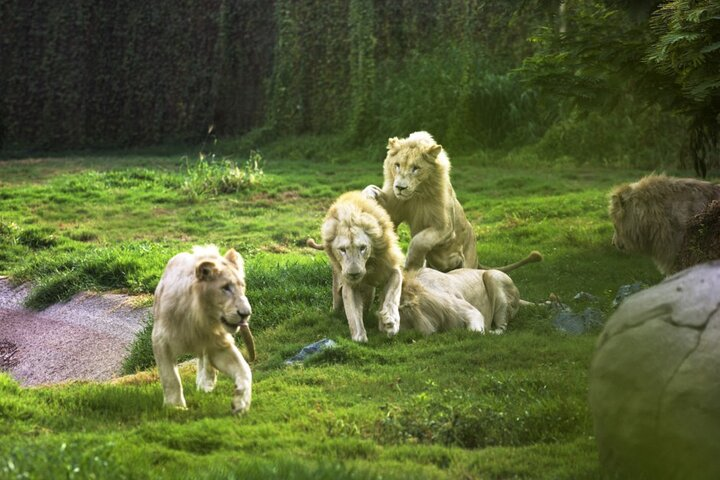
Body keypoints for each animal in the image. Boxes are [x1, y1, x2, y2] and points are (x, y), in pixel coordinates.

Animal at [152, 245, 255, 414]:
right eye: (225, 287)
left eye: (242, 286)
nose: (246, 314)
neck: (200, 317)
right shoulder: (161, 341)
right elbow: (171, 378)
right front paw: (176, 407)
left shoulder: (219, 344)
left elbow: (245, 370)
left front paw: (240, 403)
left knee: (204, 358)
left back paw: (206, 382)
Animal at [307, 191, 404, 342]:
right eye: (342, 249)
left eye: (362, 248)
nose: (354, 274)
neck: (368, 266)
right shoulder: (349, 284)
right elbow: (353, 315)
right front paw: (359, 338)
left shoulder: (391, 268)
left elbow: (393, 294)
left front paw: (390, 322)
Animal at [363, 131, 541, 272]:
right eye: (397, 165)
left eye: (416, 168)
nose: (400, 187)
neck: (416, 195)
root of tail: (477, 259)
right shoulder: (395, 211)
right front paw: (371, 193)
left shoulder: (445, 227)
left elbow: (419, 241)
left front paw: (411, 265)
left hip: (466, 260)